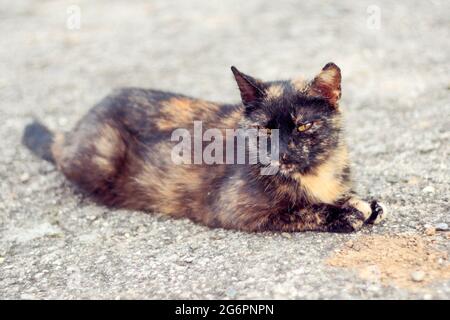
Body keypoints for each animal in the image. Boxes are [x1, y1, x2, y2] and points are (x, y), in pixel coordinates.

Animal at [22, 62, 386, 232]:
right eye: (264, 129)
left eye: (304, 125)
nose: (281, 153)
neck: (316, 173)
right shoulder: (238, 210)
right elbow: (304, 210)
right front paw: (346, 213)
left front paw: (361, 201)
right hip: (97, 160)